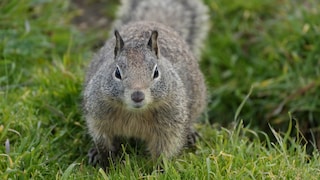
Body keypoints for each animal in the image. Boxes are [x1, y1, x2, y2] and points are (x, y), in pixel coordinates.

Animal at [81, 0, 209, 167]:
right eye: (117, 72)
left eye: (156, 72)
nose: (137, 95)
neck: (135, 113)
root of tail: (155, 22)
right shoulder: (98, 115)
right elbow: (103, 141)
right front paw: (105, 161)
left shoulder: (170, 126)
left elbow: (165, 149)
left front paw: (160, 169)